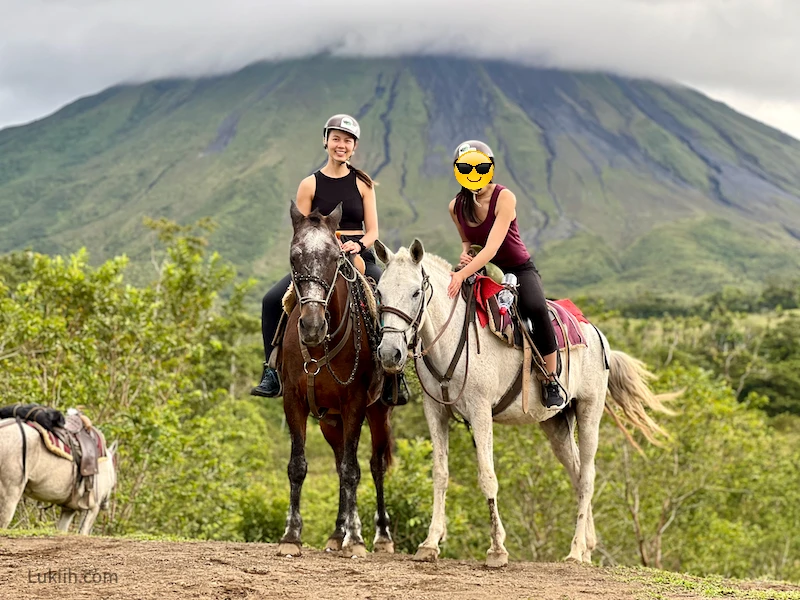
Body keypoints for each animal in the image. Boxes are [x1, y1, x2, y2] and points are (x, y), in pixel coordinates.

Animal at [276, 202, 396, 556]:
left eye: (334, 258)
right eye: (294, 257)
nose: (312, 326)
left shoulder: (354, 403)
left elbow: (352, 470)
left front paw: (356, 541)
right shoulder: (294, 401)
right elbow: (298, 466)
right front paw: (291, 536)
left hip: (378, 412)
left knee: (372, 465)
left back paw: (380, 537)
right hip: (330, 420)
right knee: (339, 460)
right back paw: (336, 533)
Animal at [376, 239, 676, 568]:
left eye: (416, 292)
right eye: (379, 292)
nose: (389, 354)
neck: (452, 336)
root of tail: (597, 335)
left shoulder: (480, 412)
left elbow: (487, 477)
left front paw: (497, 549)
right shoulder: (436, 411)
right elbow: (440, 474)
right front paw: (430, 543)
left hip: (589, 411)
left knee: (587, 477)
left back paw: (575, 551)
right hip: (556, 423)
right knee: (576, 473)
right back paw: (586, 548)